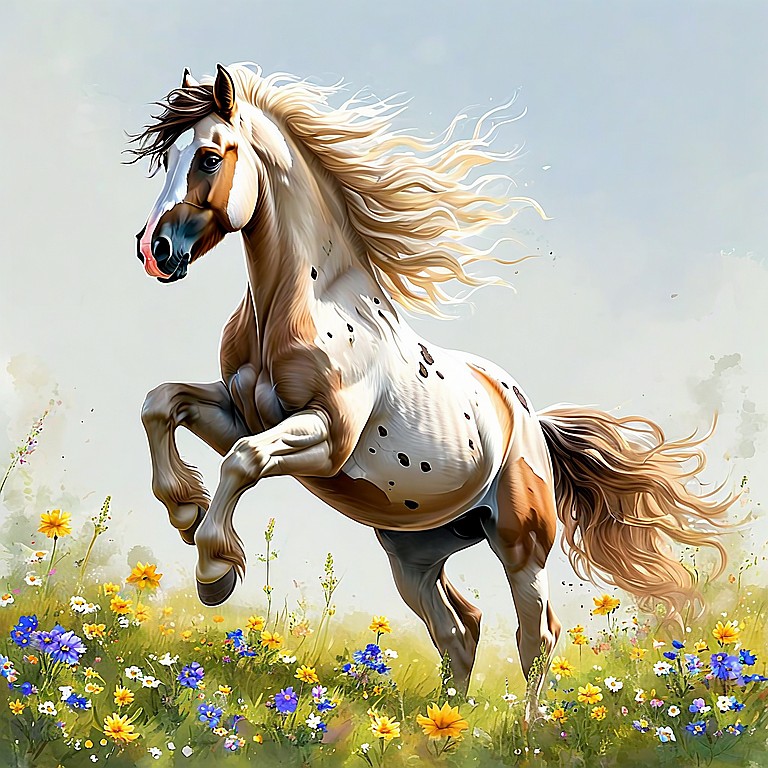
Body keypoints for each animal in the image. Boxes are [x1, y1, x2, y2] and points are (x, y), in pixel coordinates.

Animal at [130, 63, 733, 720]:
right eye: (166, 158)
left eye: (209, 157)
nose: (153, 251)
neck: (302, 305)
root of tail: (531, 420)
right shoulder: (238, 412)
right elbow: (162, 403)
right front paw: (185, 511)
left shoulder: (326, 437)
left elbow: (243, 462)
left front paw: (214, 568)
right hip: (415, 554)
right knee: (459, 629)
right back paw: (443, 723)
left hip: (520, 544)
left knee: (536, 633)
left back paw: (529, 727)